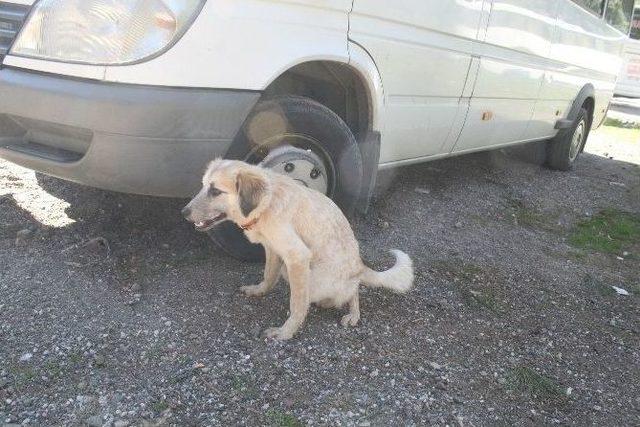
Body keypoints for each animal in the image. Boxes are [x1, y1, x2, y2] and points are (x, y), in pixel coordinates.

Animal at [182, 160, 416, 342]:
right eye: (203, 186)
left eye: (215, 191)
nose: (183, 212)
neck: (267, 204)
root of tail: (360, 266)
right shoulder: (273, 249)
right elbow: (268, 276)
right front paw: (258, 290)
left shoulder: (297, 257)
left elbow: (297, 304)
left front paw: (285, 332)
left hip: (314, 277)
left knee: (352, 290)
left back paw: (352, 314)